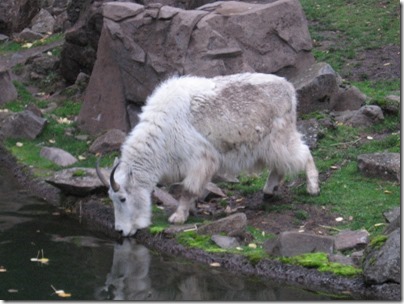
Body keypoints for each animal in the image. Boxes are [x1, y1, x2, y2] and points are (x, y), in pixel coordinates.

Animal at [97, 72, 318, 236]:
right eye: (111, 198)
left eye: (122, 198)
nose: (120, 231)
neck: (161, 133)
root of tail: (288, 87)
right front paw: (191, 209)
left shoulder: (200, 159)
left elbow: (188, 188)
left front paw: (178, 216)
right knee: (280, 165)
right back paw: (269, 192)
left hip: (279, 137)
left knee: (303, 153)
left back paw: (312, 187)